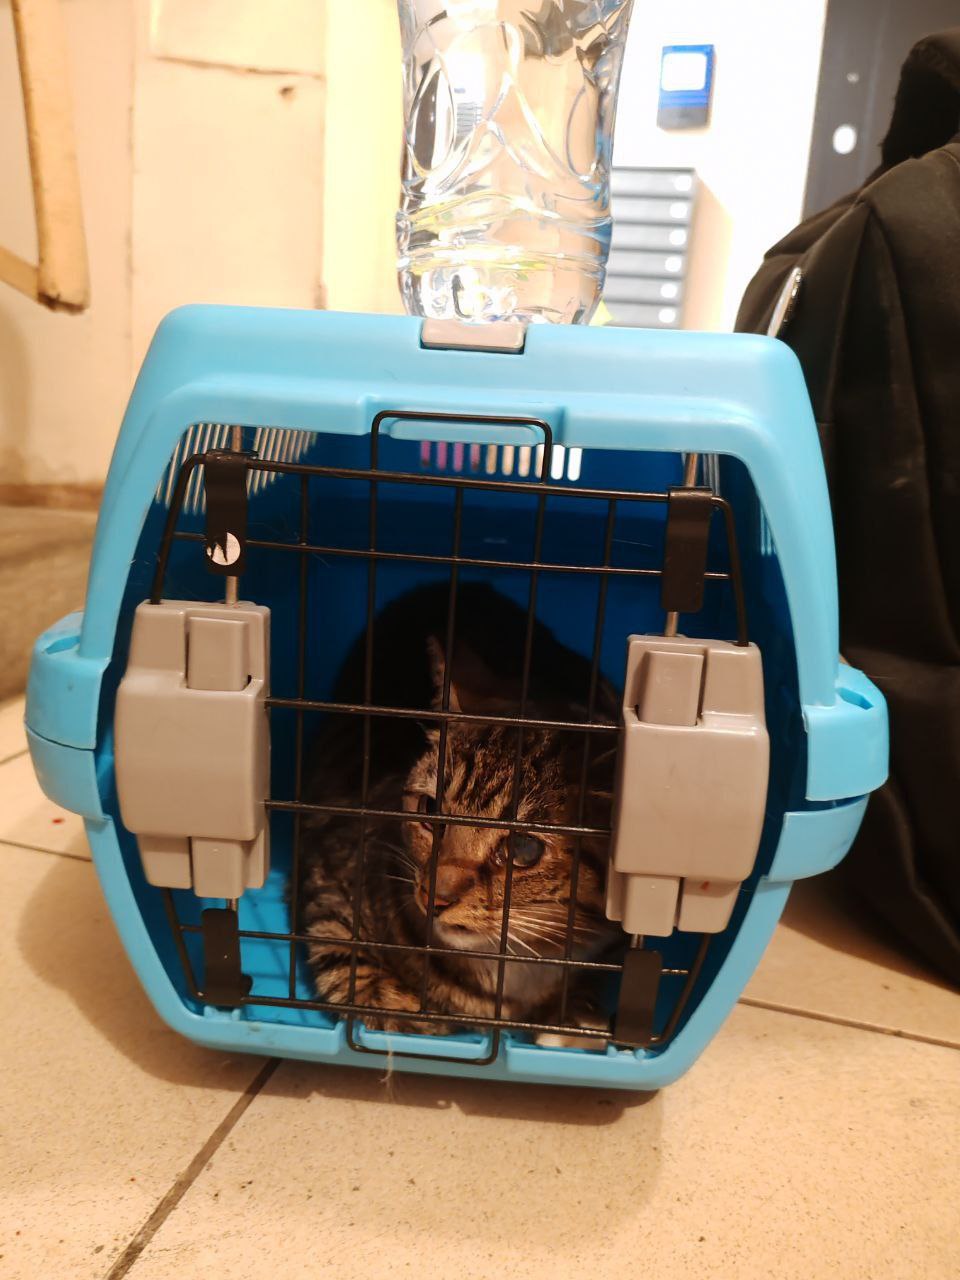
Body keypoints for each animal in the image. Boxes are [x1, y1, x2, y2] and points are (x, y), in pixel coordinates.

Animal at [296, 582, 624, 1042]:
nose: (434, 895)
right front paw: (404, 1005)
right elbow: (352, 970)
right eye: (429, 808)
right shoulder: (324, 876)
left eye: (524, 850)